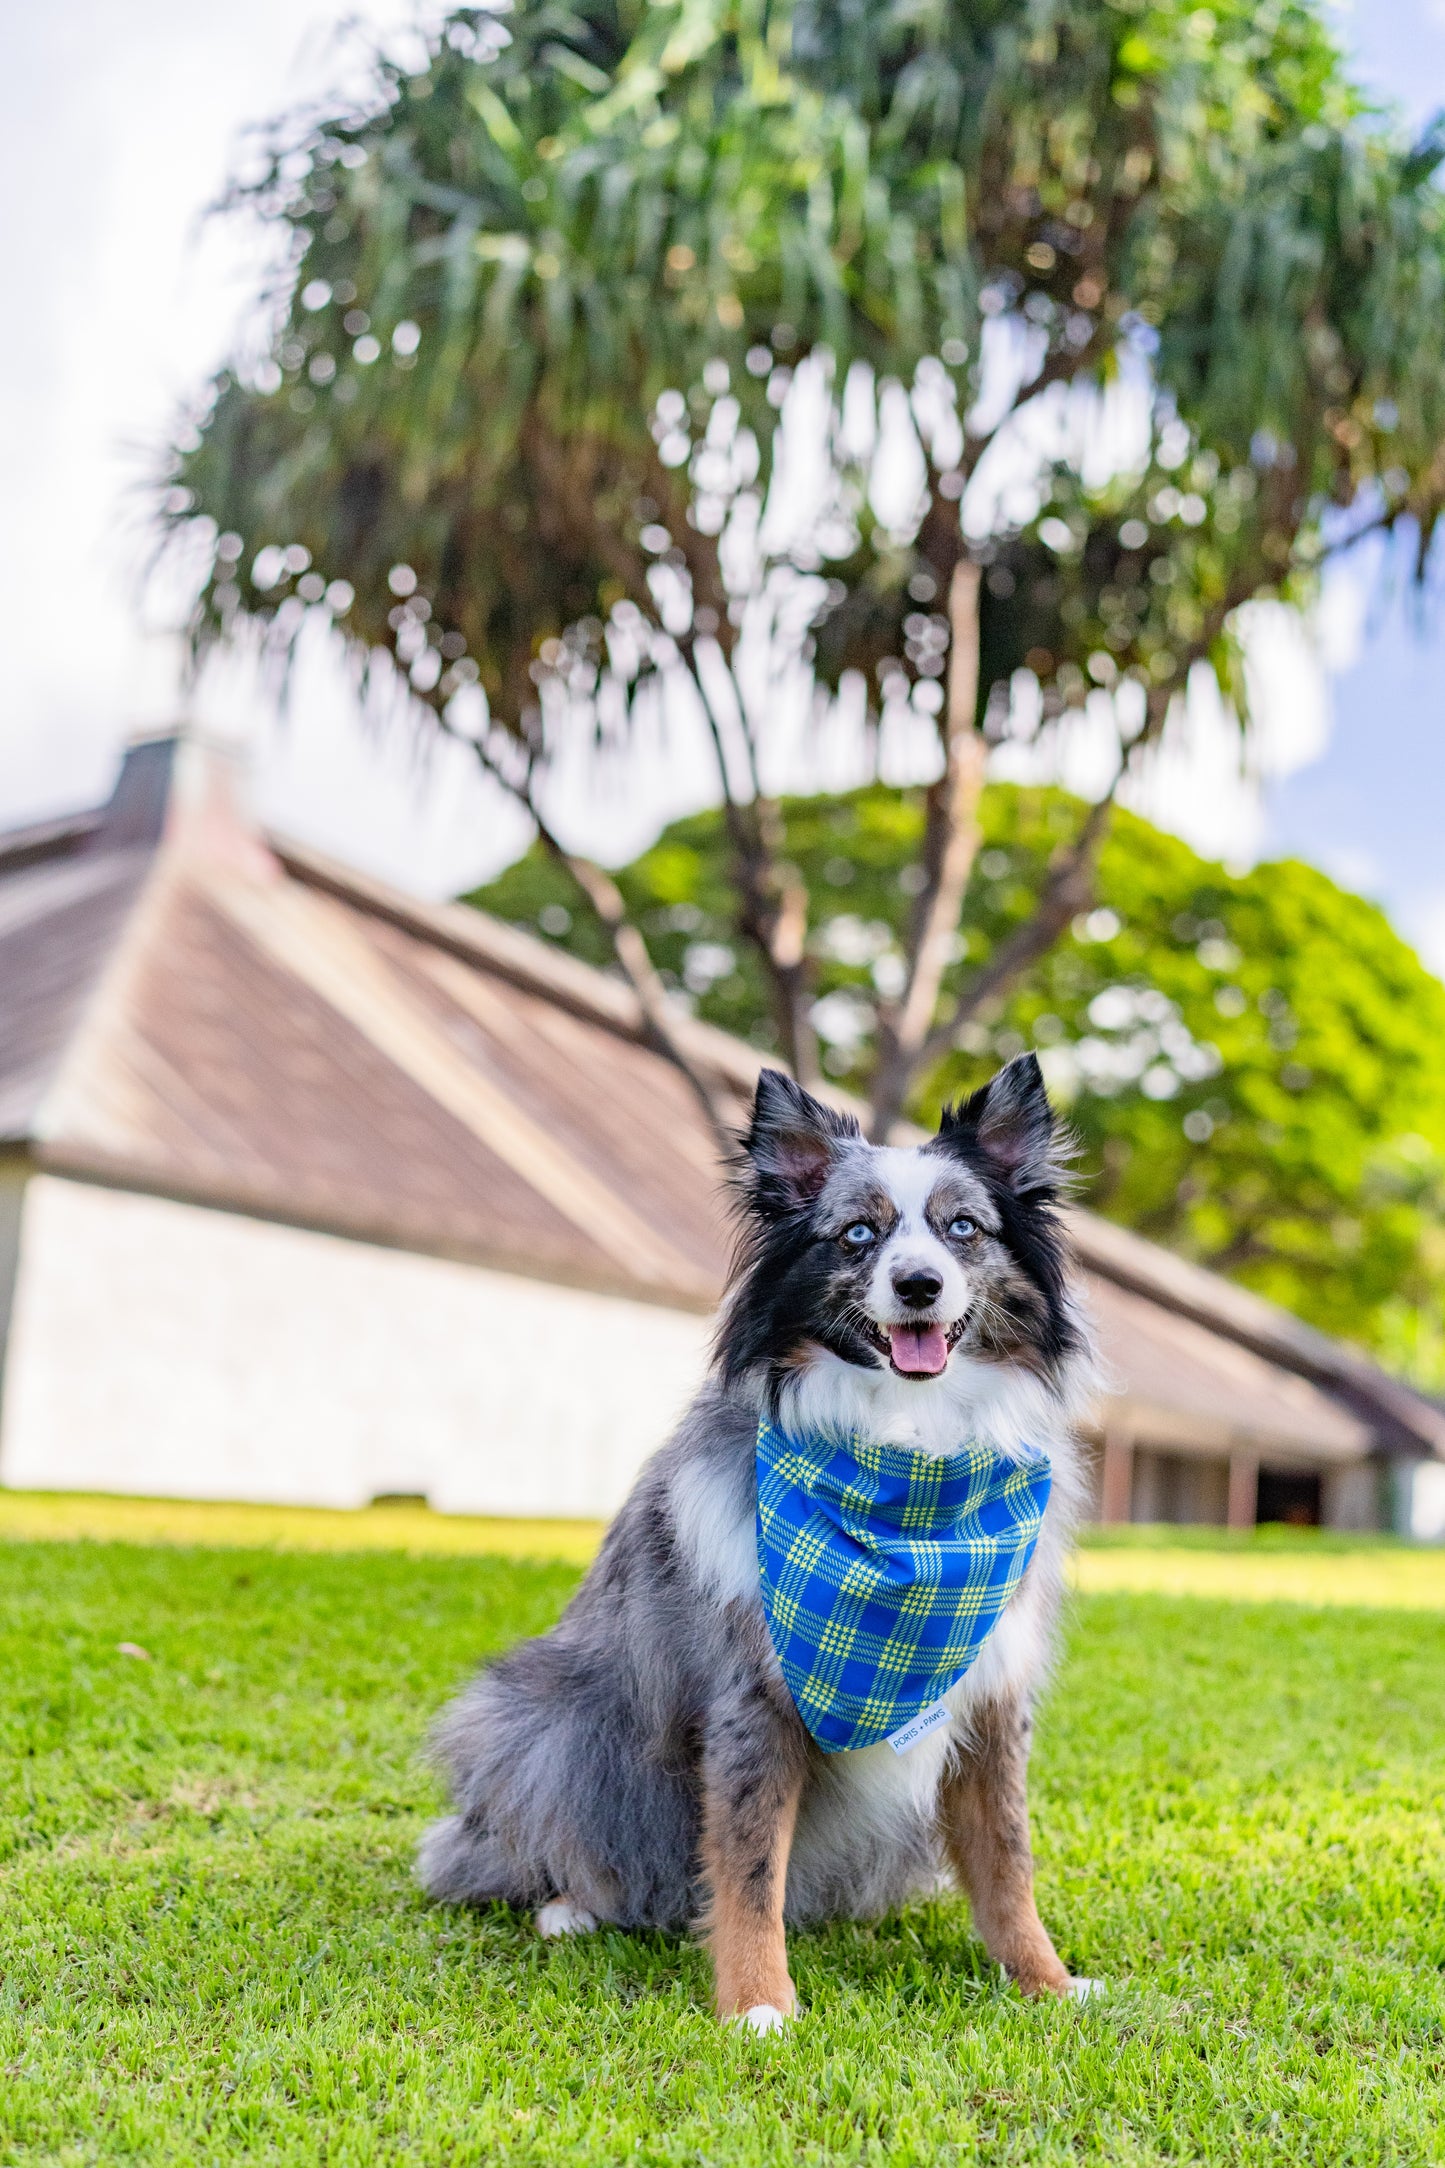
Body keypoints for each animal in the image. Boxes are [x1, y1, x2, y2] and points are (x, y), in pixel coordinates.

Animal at [418, 1049, 1096, 2029]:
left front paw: (1045, 1984)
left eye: (962, 1228)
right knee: (512, 1847)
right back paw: (567, 1906)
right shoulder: (752, 1701)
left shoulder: (990, 1702)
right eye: (857, 1235)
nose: (918, 1286)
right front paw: (756, 2005)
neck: (907, 1452)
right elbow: (745, 1868)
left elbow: (1009, 1863)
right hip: (534, 1715)